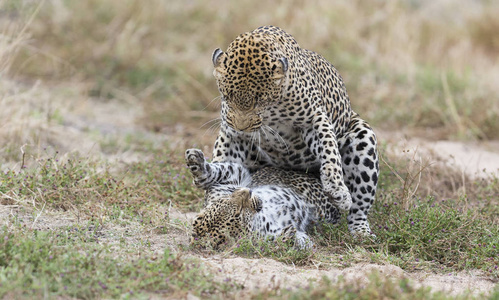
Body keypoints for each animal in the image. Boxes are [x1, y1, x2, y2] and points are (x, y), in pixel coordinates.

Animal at [186, 148, 342, 248]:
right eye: (240, 213)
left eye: (225, 199)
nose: (248, 191)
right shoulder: (262, 239)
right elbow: (279, 241)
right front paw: (293, 237)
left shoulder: (225, 184)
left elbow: (223, 171)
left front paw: (196, 162)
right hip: (325, 212)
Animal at [210, 25, 378, 237]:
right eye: (227, 96)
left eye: (259, 101)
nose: (242, 127)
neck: (272, 112)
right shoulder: (231, 134)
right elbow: (223, 162)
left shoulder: (313, 119)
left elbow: (329, 147)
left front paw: (336, 188)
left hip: (363, 137)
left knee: (359, 208)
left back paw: (360, 231)